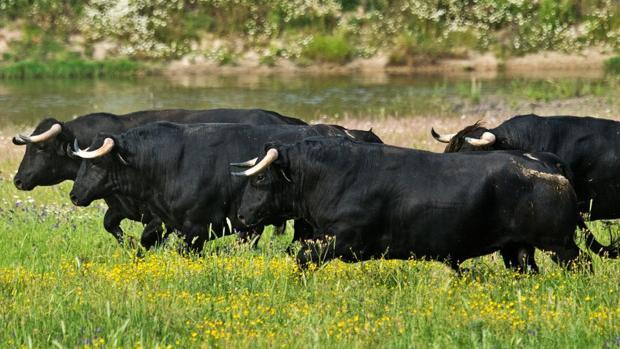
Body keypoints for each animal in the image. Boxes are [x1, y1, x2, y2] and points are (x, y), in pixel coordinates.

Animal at [12, 109, 308, 245]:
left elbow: (149, 236)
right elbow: (111, 226)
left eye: (39, 148)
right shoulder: (120, 208)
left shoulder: (155, 215)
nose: (17, 180)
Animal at [231, 136, 604, 270]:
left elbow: (303, 257)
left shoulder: (343, 240)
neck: (336, 175)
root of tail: (542, 160)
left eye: (260, 179)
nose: (242, 216)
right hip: (517, 247)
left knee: (580, 264)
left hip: (559, 243)